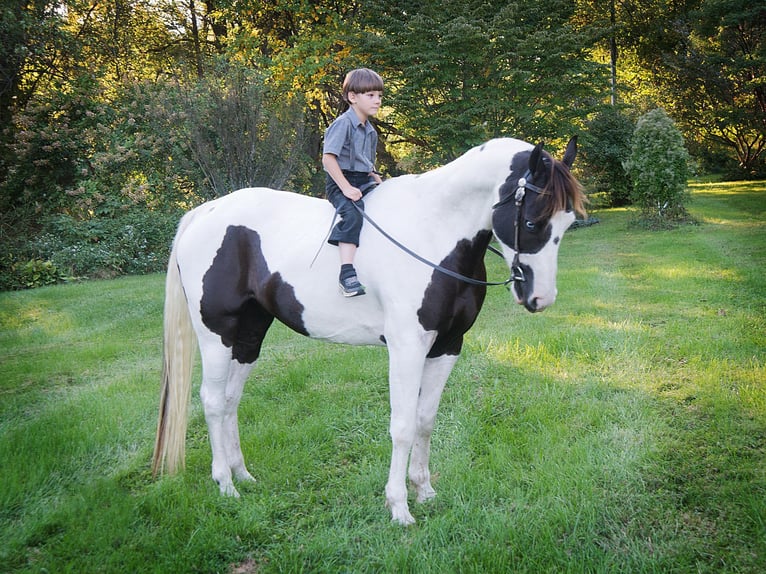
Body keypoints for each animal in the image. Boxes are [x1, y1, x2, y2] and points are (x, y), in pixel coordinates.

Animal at [154, 135, 588, 528]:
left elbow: (425, 420)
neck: (432, 231)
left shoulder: (448, 345)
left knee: (230, 401)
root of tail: (204, 213)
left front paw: (424, 490)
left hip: (249, 335)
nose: (540, 298)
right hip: (216, 334)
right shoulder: (407, 347)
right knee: (212, 401)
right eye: (532, 221)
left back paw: (242, 474)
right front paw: (399, 507)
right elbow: (403, 426)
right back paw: (225, 484)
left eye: (568, 223)